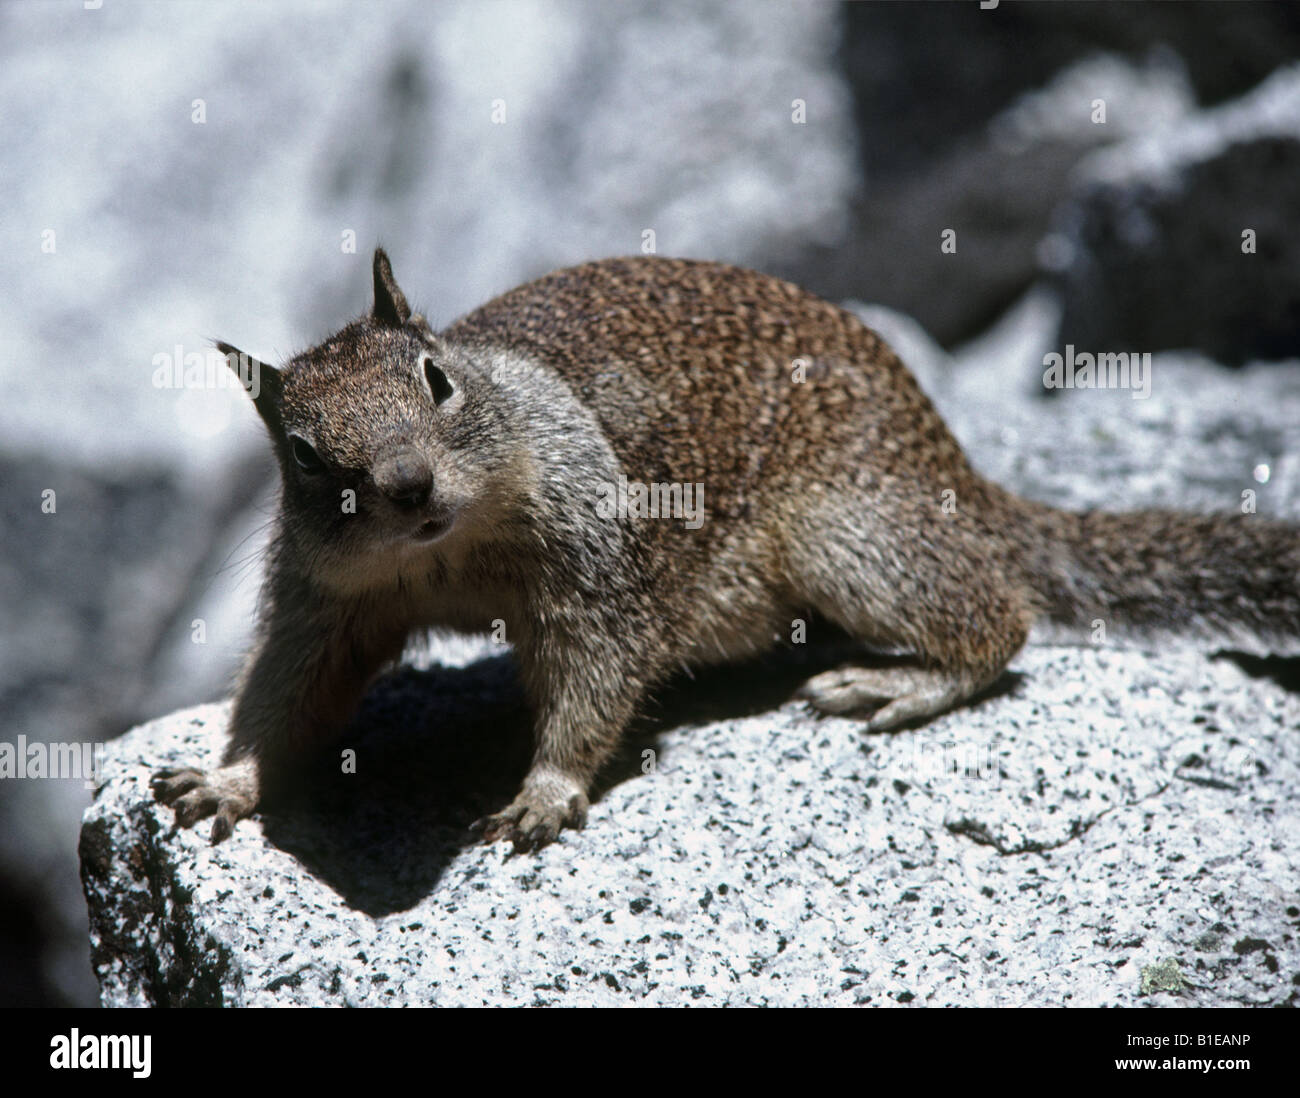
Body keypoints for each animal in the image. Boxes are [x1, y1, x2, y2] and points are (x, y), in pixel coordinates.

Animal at [154, 246, 1300, 847]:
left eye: (437, 380)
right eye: (305, 454)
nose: (406, 485)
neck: (447, 554)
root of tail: (950, 459)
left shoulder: (595, 563)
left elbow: (596, 676)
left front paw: (542, 794)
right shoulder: (321, 602)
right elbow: (285, 691)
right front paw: (226, 781)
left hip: (850, 536)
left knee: (998, 618)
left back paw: (898, 683)